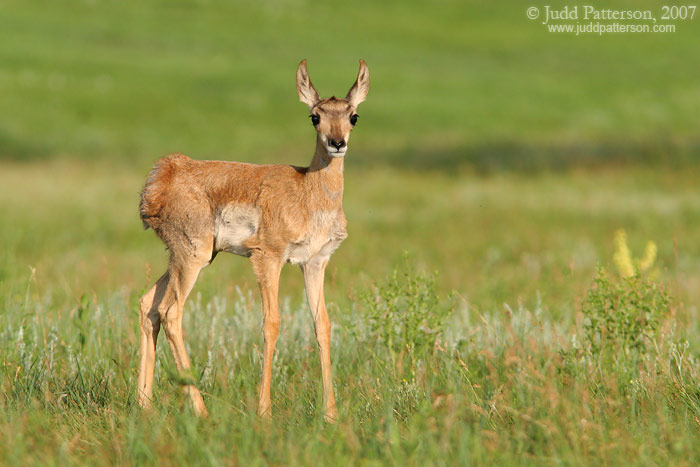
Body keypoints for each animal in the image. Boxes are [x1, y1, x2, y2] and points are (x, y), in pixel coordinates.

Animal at [136, 60, 369, 423]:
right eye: (314, 116)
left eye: (353, 115)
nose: (337, 142)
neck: (307, 189)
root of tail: (166, 171)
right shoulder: (268, 258)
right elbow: (271, 322)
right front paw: (264, 411)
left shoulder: (315, 262)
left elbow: (323, 324)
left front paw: (330, 414)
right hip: (192, 257)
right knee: (171, 312)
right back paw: (201, 410)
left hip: (191, 257)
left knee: (149, 304)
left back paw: (145, 405)